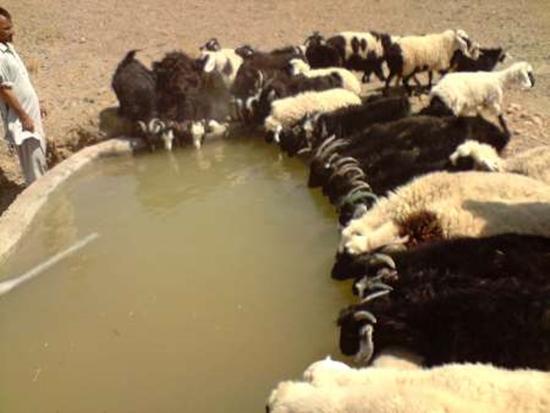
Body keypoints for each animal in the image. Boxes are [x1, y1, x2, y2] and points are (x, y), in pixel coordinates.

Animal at [339, 171, 550, 258]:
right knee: (387, 209)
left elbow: (393, 231)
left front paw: (356, 245)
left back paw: (353, 238)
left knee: (391, 216)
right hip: (427, 189)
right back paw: (351, 235)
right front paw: (354, 244)